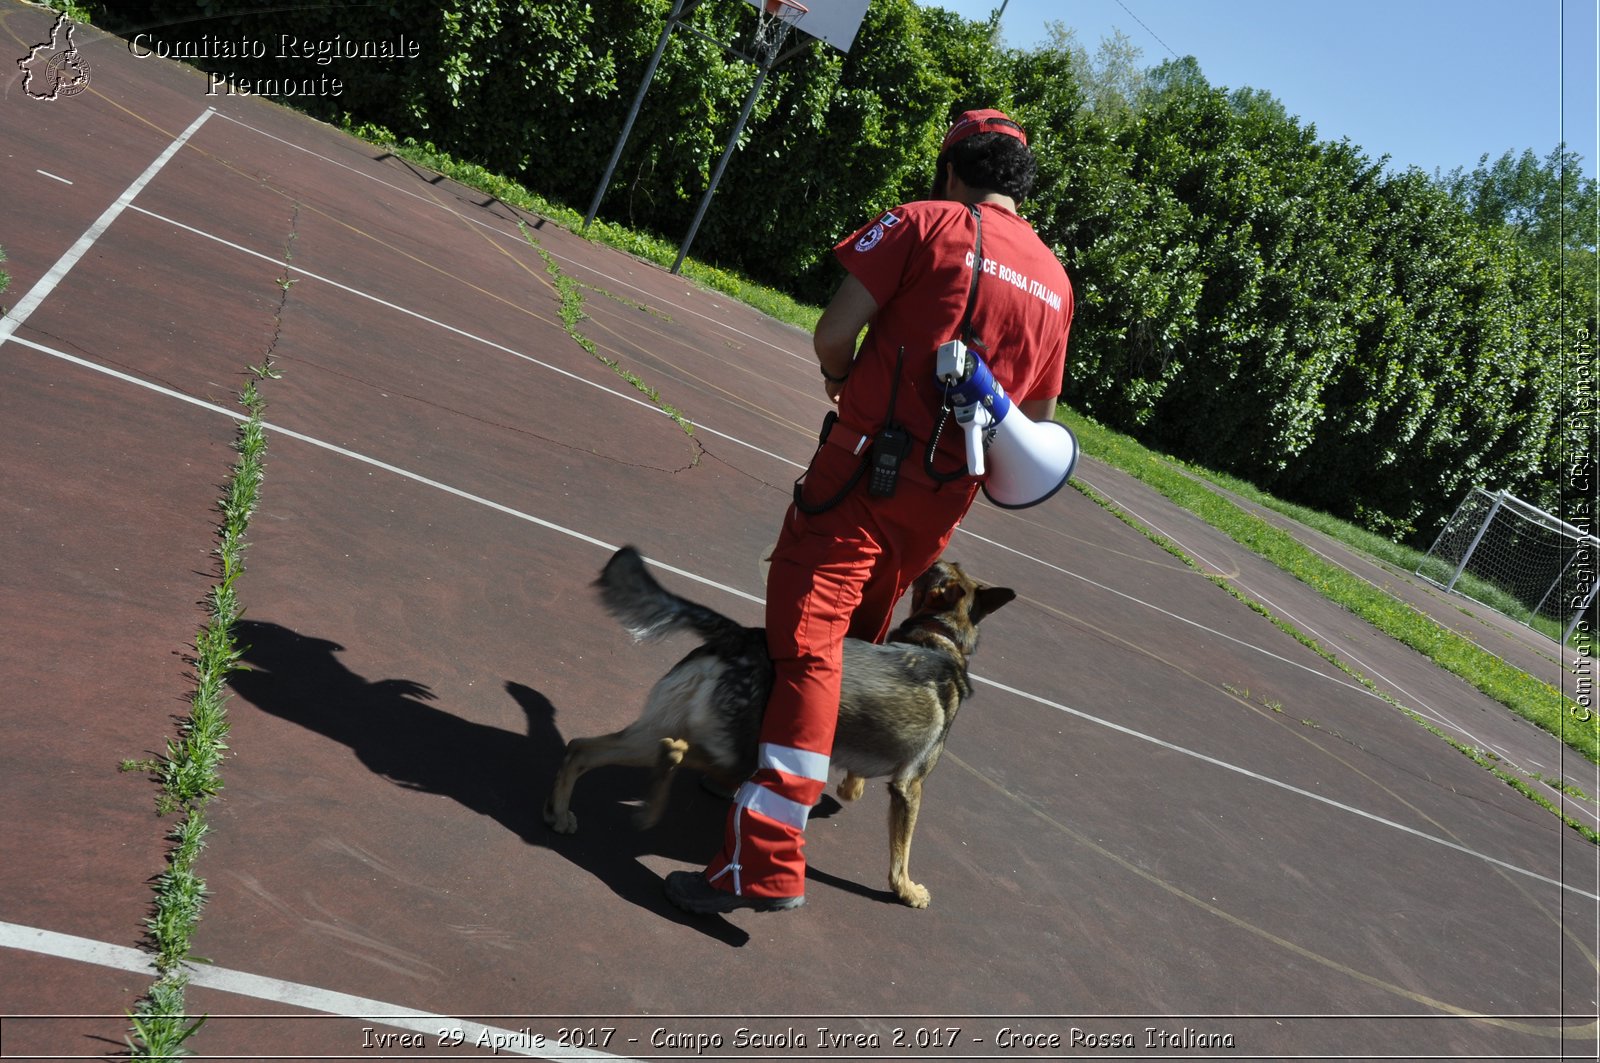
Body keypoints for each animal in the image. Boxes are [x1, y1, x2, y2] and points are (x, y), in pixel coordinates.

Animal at [540, 547, 1011, 902]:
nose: (938, 557)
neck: (939, 637)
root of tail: (738, 636)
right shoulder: (910, 786)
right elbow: (902, 853)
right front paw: (907, 890)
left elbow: (856, 779)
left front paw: (850, 789)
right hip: (734, 756)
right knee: (672, 751)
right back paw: (649, 809)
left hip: (650, 732)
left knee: (582, 748)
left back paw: (560, 814)